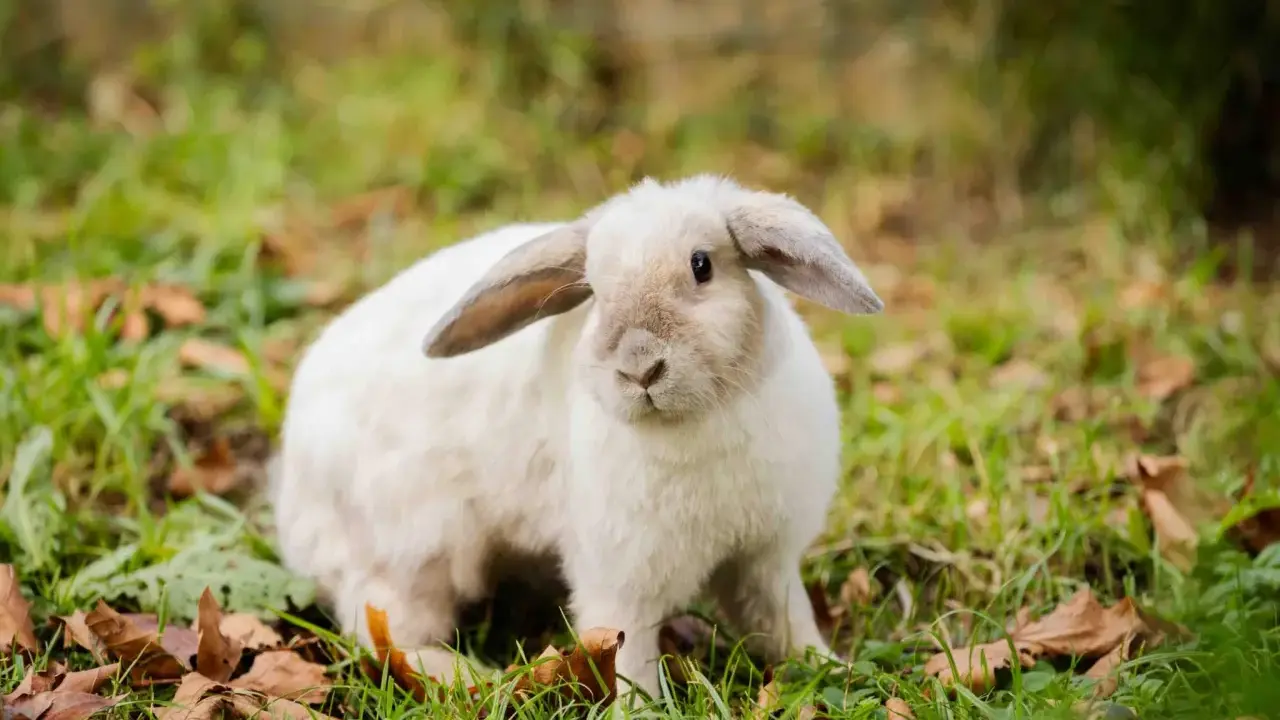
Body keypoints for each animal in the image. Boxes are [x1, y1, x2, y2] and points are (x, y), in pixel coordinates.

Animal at [269, 174, 884, 700]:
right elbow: (629, 650)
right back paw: (464, 674)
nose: (639, 367)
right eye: (595, 291)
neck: (694, 420)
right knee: (381, 628)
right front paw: (640, 707)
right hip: (410, 552)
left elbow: (784, 622)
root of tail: (293, 491)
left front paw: (831, 668)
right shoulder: (621, 577)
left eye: (701, 266)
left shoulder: (765, 559)